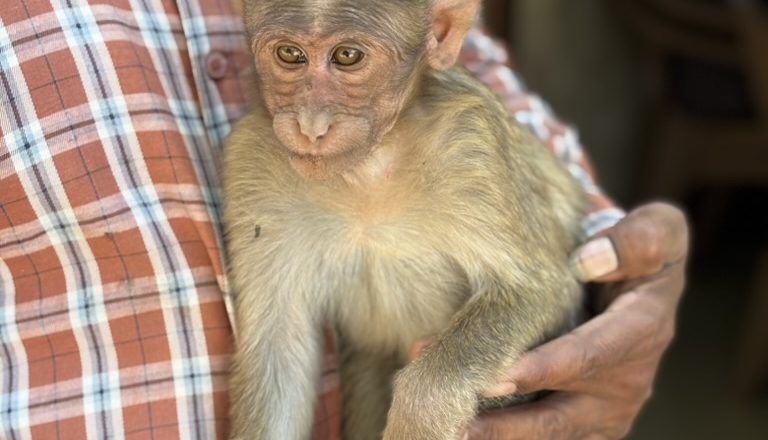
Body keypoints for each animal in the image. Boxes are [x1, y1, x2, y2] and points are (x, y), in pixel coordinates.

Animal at [225, 0, 584, 440]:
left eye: (348, 56)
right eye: (290, 54)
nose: (310, 125)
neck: (368, 168)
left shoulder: (471, 140)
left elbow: (542, 289)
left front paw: (421, 405)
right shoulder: (252, 158)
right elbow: (277, 344)